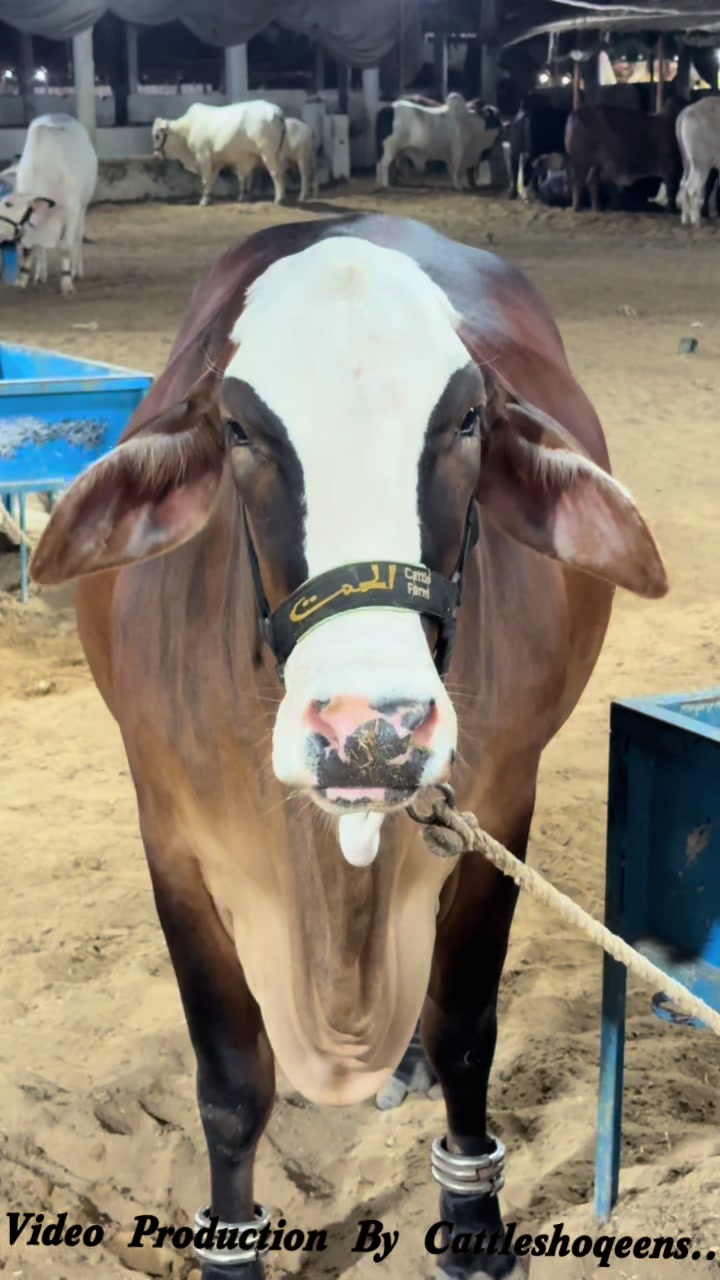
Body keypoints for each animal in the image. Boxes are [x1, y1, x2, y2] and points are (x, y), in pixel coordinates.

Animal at [0, 114, 97, 295]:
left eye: (8, 204)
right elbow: (30, 247)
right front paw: (24, 279)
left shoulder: (72, 210)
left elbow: (66, 247)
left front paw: (66, 283)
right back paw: (41, 273)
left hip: (83, 206)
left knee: (78, 237)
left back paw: (76, 271)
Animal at [29, 213, 668, 1280]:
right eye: (240, 431)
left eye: (466, 421)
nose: (370, 730)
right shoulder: (172, 840)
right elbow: (230, 1080)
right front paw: (230, 1249)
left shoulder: (501, 812)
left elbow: (464, 1028)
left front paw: (473, 1222)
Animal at [152, 101, 287, 207]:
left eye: (157, 136)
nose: (155, 155)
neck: (187, 129)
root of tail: (276, 110)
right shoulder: (216, 161)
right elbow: (212, 180)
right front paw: (209, 198)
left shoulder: (203, 157)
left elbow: (206, 180)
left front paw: (204, 201)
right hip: (276, 154)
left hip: (268, 154)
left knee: (276, 173)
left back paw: (278, 199)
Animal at [677, 95, 720, 227]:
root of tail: (686, 111)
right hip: (701, 161)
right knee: (691, 187)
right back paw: (696, 220)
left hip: (687, 161)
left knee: (683, 185)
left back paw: (685, 218)